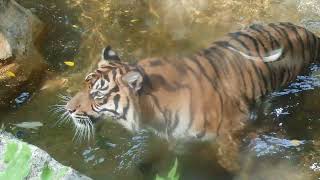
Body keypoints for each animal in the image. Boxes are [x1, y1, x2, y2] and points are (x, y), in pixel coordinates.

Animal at [61, 22, 318, 172]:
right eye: (85, 84)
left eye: (97, 95)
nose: (68, 109)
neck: (151, 112)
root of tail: (308, 32)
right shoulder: (175, 135)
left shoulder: (232, 131)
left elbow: (231, 161)